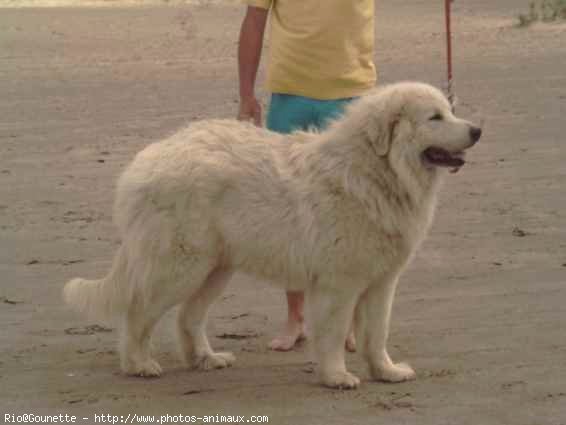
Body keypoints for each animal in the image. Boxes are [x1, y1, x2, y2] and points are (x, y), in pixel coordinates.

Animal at [65, 82, 484, 388]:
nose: (477, 130)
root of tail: (146, 159)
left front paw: (386, 372)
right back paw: (139, 364)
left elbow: (376, 334)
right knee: (138, 312)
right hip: (179, 268)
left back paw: (206, 359)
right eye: (434, 117)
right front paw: (337, 377)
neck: (374, 173)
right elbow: (334, 334)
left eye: (450, 110)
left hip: (215, 269)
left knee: (188, 317)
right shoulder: (339, 285)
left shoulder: (381, 283)